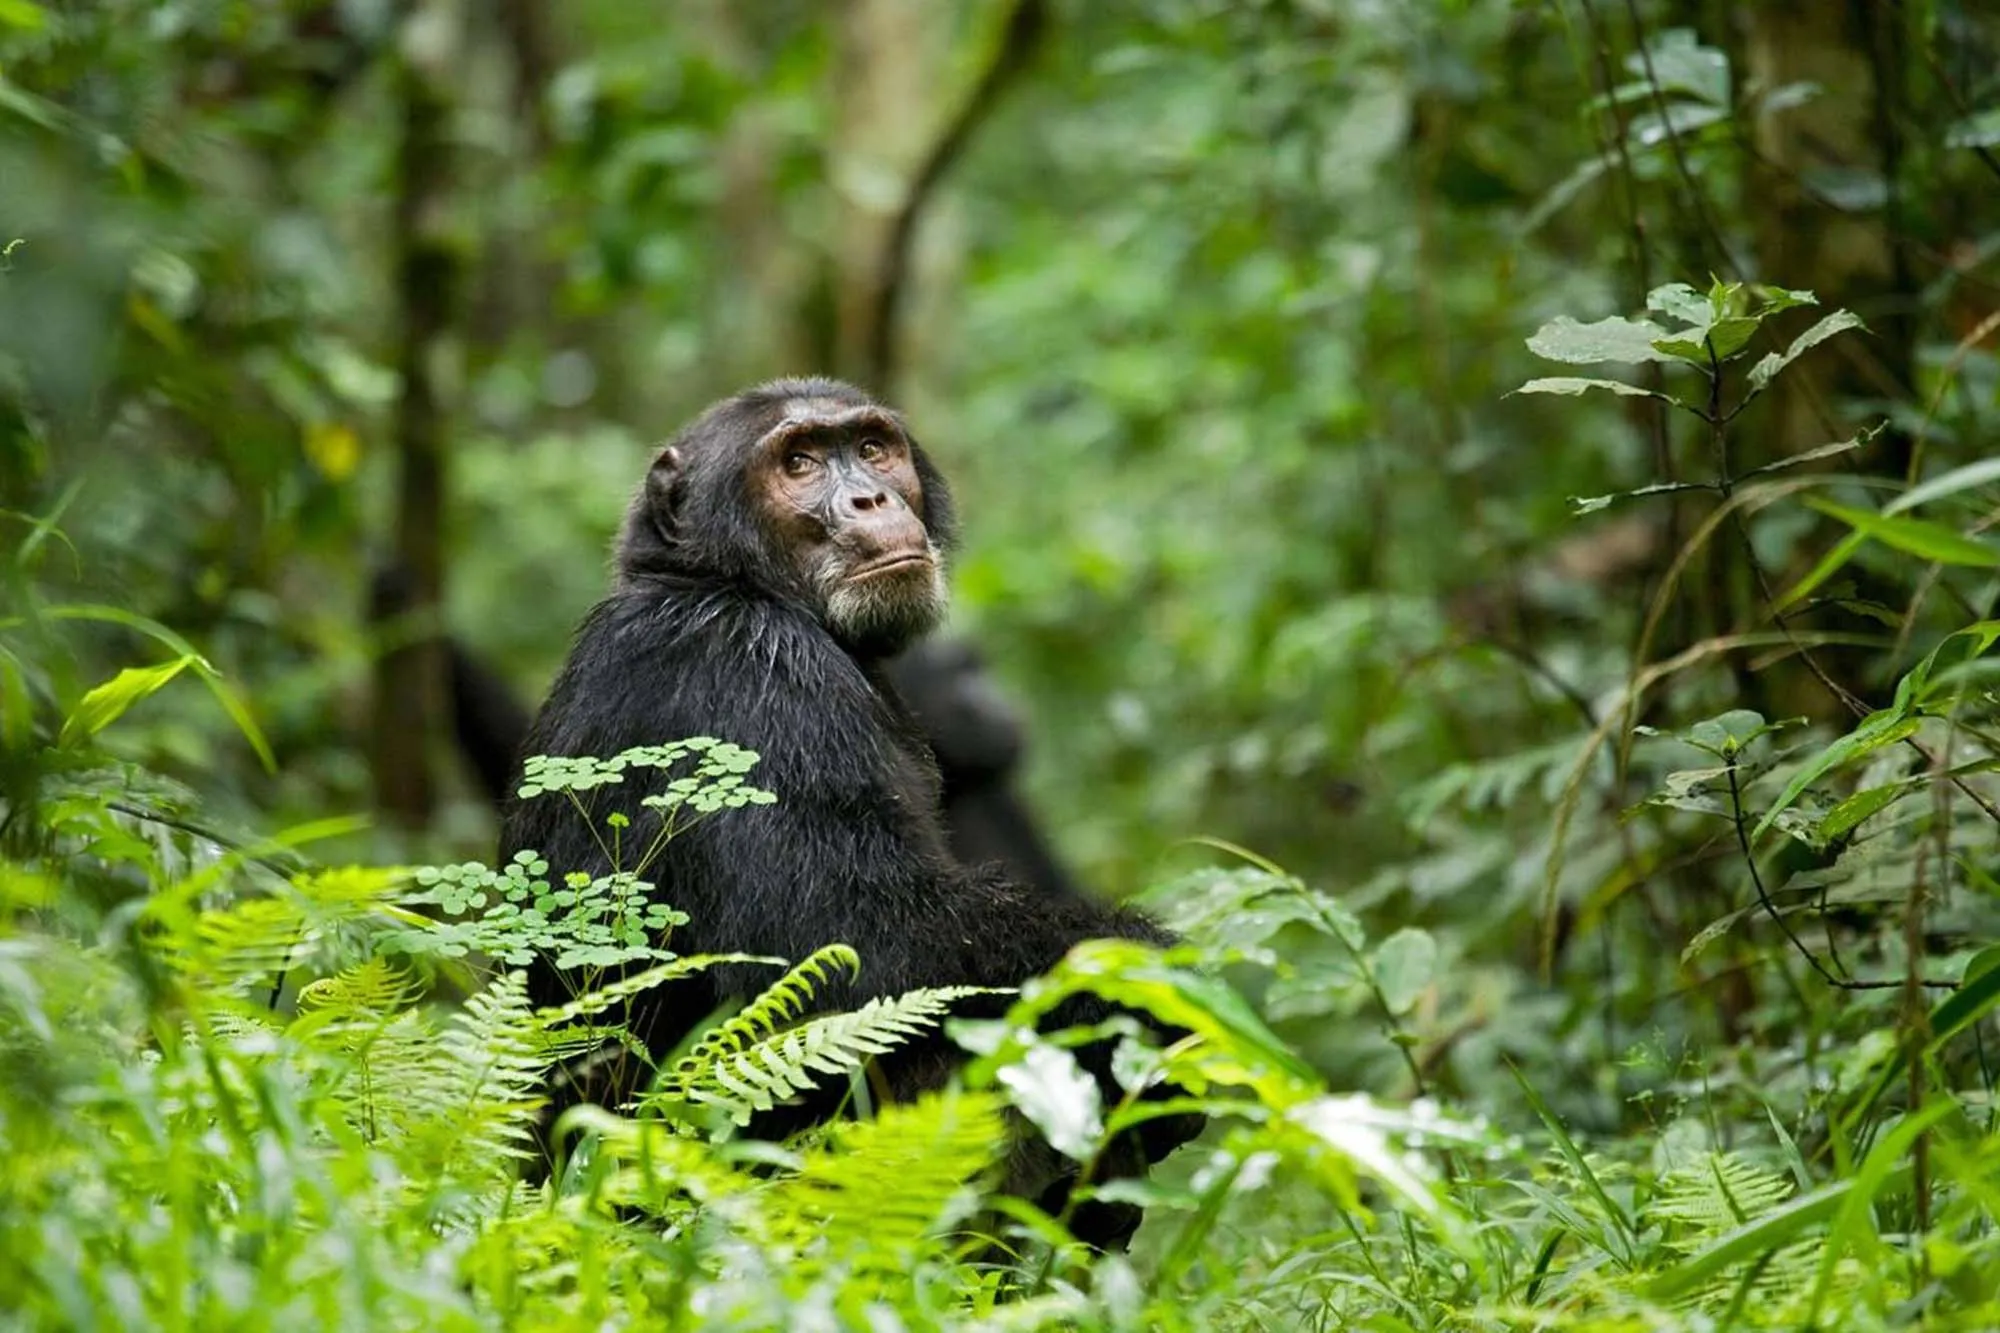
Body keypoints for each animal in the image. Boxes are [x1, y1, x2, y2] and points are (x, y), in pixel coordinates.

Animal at [500, 376, 1192, 1248]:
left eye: (871, 447)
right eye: (797, 462)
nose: (870, 496)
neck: (730, 584)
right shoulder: (755, 685)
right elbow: (861, 943)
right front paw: (1156, 982)